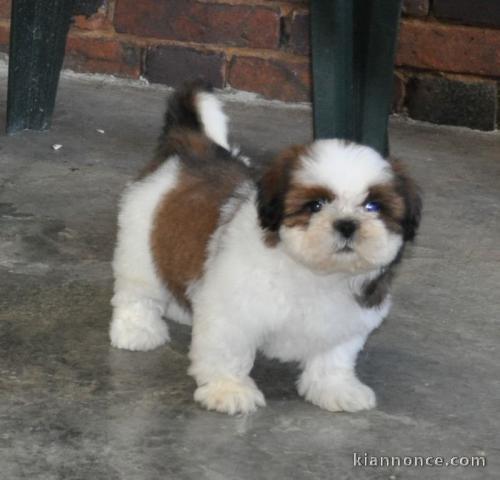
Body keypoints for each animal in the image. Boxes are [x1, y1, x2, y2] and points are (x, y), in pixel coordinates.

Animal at [110, 84, 422, 414]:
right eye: (315, 205)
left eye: (373, 206)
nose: (347, 224)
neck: (313, 272)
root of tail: (191, 147)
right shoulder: (232, 309)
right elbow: (228, 350)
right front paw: (229, 389)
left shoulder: (346, 318)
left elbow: (334, 358)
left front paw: (336, 389)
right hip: (140, 245)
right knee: (138, 292)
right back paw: (137, 330)